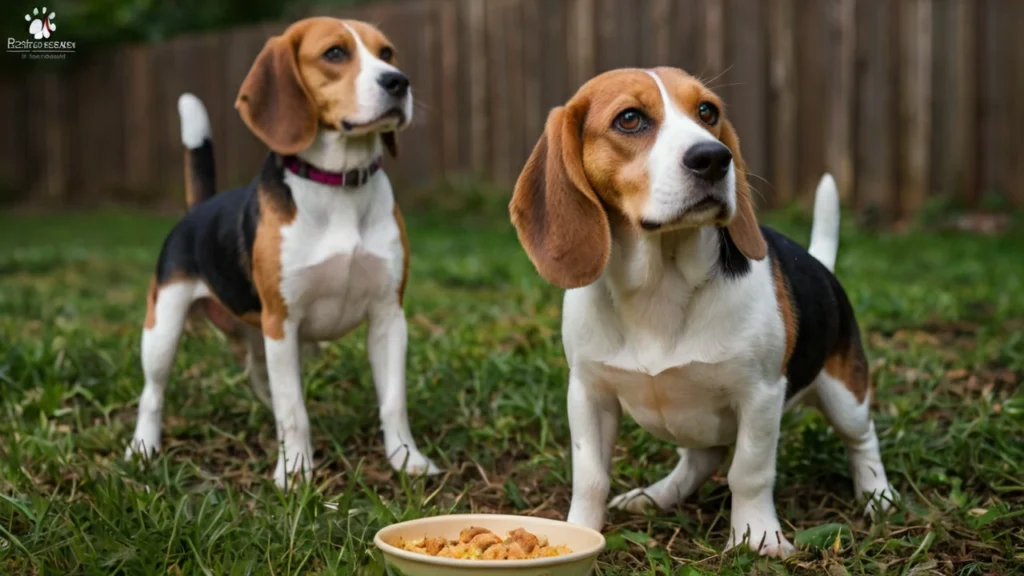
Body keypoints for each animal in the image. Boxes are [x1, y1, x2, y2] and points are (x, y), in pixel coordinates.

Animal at [124, 17, 440, 483]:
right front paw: (294, 474)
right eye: (334, 53)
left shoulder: (388, 317)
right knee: (153, 392)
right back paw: (143, 447)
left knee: (261, 378)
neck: (339, 185)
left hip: (261, 337)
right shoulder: (282, 322)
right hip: (164, 327)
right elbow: (294, 411)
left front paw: (406, 458)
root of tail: (199, 209)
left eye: (387, 53)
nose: (399, 82)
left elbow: (393, 401)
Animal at [509, 68, 897, 557]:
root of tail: (820, 266)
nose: (714, 157)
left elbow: (749, 473)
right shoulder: (587, 392)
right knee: (699, 457)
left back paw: (878, 496)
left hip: (845, 395)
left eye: (707, 112)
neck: (660, 283)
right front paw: (580, 531)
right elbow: (591, 475)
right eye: (629, 119)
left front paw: (758, 537)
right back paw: (657, 495)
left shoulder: (760, 393)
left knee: (862, 439)